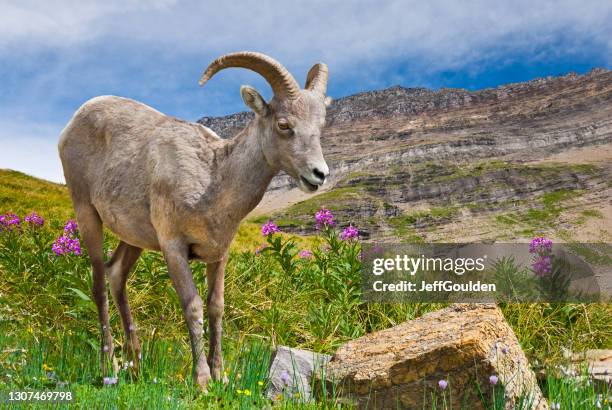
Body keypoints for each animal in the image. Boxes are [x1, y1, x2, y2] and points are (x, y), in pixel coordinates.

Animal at [58, 51, 330, 388]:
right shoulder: (173, 248)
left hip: (133, 239)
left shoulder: (219, 253)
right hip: (86, 214)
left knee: (116, 274)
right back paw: (110, 365)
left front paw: (220, 376)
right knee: (98, 283)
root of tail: (72, 123)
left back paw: (136, 365)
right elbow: (193, 306)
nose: (319, 175)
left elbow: (216, 307)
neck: (212, 180)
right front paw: (201, 380)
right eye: (284, 124)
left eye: (320, 125)